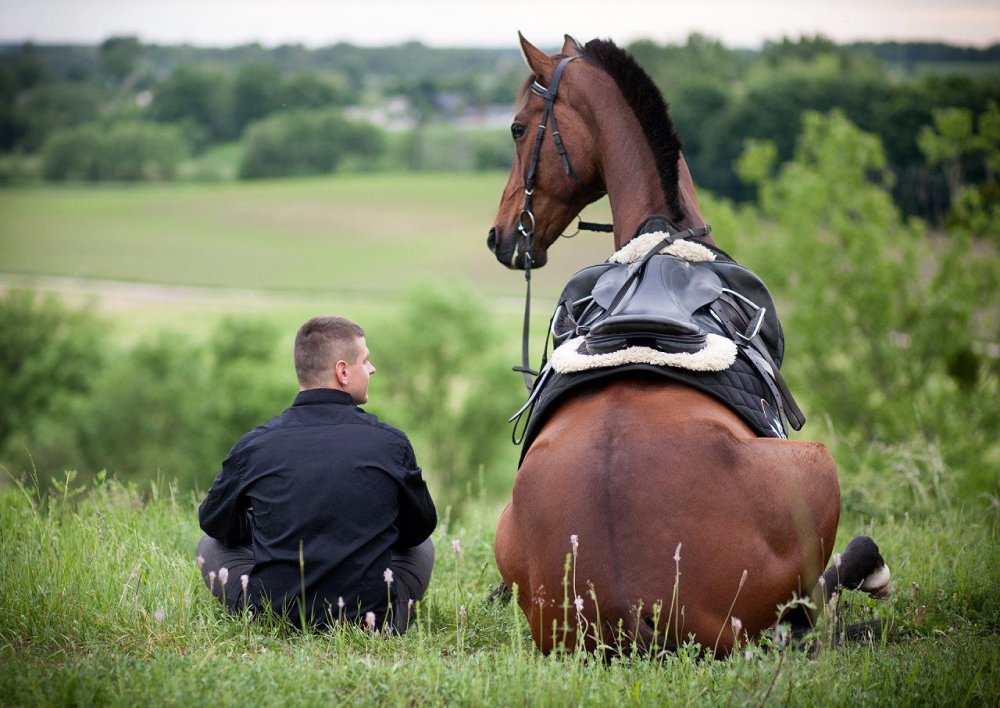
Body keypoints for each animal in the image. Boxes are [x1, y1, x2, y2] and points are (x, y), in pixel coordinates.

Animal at [488, 36, 888, 656]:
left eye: (516, 128)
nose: (501, 235)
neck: (662, 235)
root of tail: (630, 607)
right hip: (815, 468)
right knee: (817, 598)